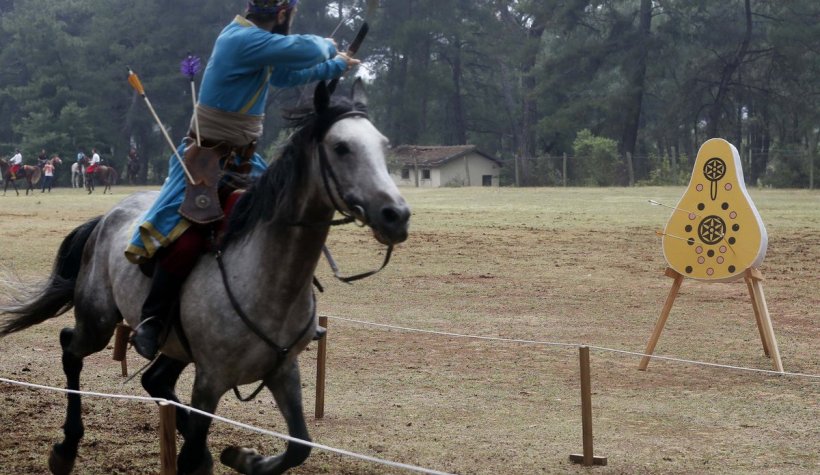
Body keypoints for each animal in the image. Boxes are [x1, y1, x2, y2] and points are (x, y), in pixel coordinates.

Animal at [0, 80, 410, 474]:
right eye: (341, 147)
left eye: (383, 145)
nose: (396, 215)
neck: (269, 281)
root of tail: (105, 217)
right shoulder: (211, 380)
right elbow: (192, 456)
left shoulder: (284, 372)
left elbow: (299, 447)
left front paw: (244, 458)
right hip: (98, 321)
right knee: (71, 348)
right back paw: (66, 449)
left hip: (173, 343)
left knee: (154, 379)